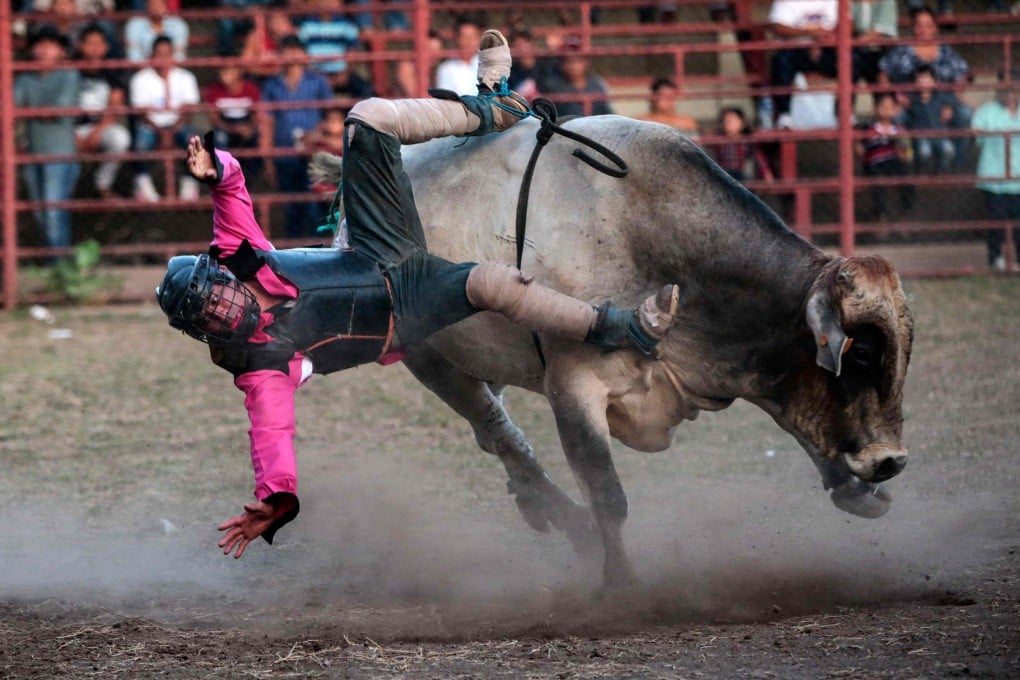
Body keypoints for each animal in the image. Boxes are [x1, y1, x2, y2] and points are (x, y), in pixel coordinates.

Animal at [313, 114, 913, 590]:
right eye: (861, 354)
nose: (892, 461)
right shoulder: (573, 389)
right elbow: (607, 495)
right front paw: (620, 584)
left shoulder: (745, 360)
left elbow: (795, 413)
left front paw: (853, 488)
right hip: (427, 354)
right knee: (494, 427)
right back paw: (560, 515)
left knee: (496, 425)